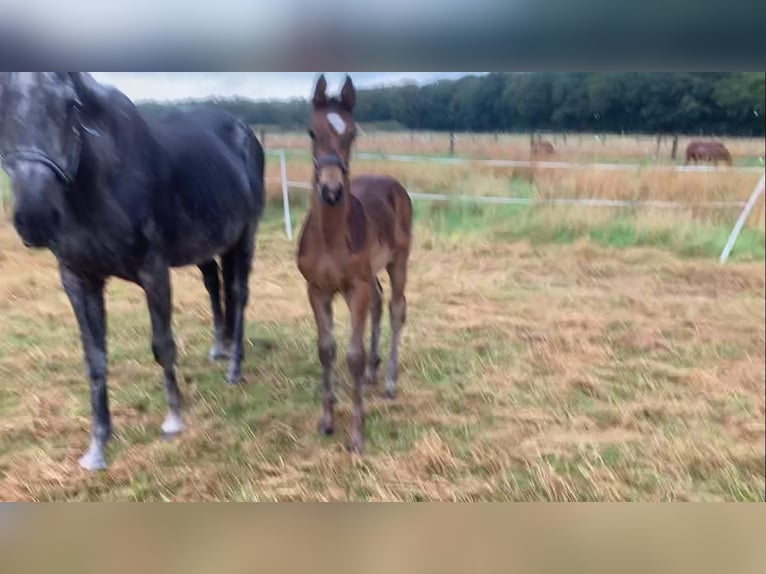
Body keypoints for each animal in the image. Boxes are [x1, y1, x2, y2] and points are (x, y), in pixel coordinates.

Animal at [0, 73, 266, 472]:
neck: (100, 184)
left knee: (238, 292)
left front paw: (173, 421)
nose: (35, 217)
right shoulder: (78, 279)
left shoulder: (153, 271)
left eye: (71, 105)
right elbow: (95, 358)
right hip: (208, 246)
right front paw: (97, 447)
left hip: (245, 237)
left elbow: (162, 346)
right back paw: (218, 349)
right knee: (214, 286)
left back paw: (234, 369)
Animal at [296, 75, 414, 454]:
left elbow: (353, 355)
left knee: (395, 308)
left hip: (398, 261)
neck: (330, 237)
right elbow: (326, 350)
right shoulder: (316, 289)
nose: (331, 191)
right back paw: (373, 374)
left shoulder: (354, 288)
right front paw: (327, 420)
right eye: (311, 131)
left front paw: (357, 435)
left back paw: (388, 381)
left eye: (352, 133)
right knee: (378, 302)